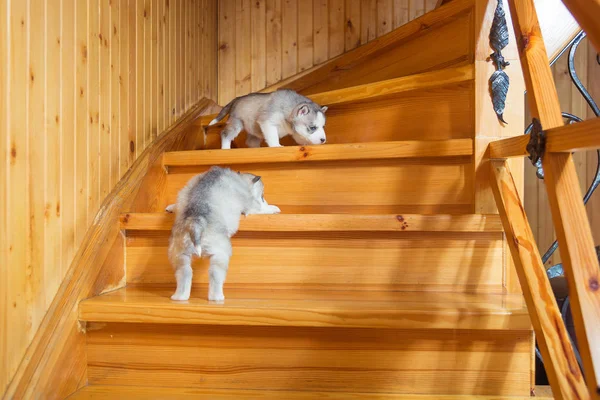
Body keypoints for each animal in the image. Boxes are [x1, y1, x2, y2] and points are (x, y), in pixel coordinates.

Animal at [165, 165, 280, 300]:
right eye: (262, 196)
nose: (265, 200)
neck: (240, 178)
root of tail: (196, 221)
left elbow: (176, 205)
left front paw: (170, 207)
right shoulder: (251, 205)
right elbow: (261, 208)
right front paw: (273, 208)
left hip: (179, 254)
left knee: (184, 273)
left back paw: (180, 296)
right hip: (220, 254)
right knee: (215, 274)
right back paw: (217, 297)